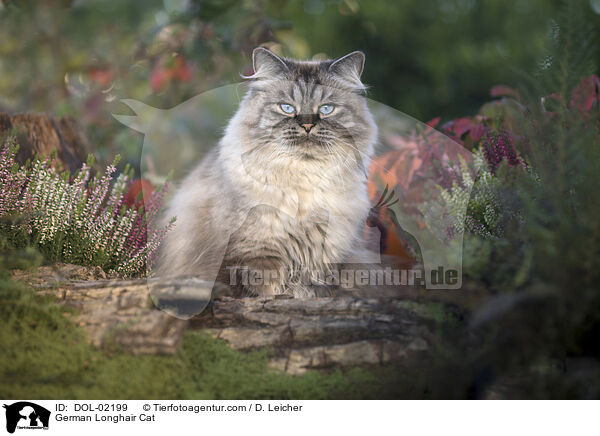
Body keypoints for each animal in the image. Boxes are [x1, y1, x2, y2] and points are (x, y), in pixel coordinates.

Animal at [157, 46, 378, 300]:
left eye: (326, 109)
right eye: (287, 108)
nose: (307, 125)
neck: (304, 182)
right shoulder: (252, 252)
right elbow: (260, 285)